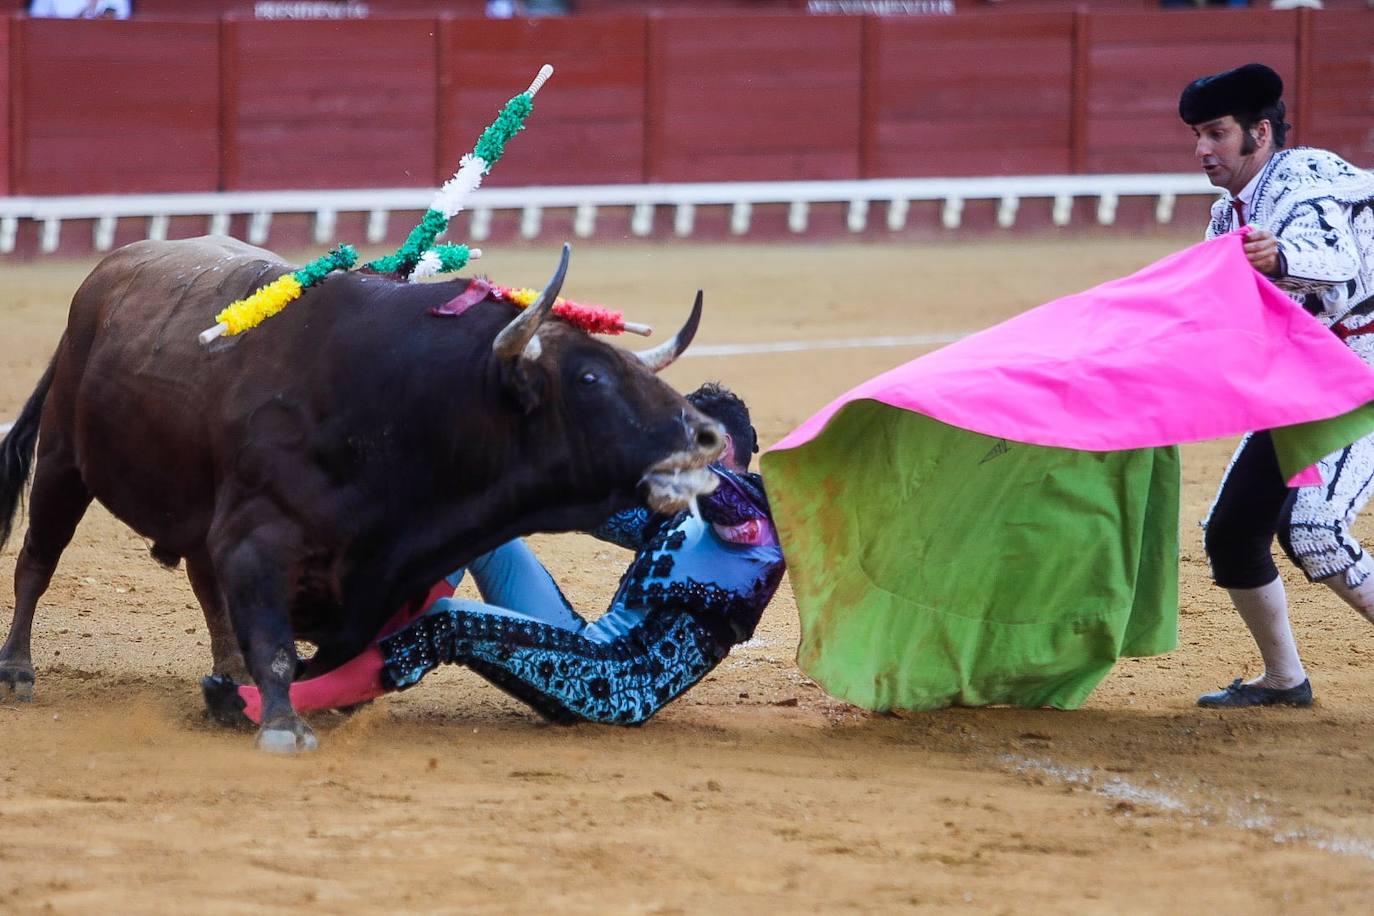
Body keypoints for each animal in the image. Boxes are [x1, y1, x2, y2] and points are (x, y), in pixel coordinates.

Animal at [0, 236, 725, 752]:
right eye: (589, 377)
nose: (707, 435)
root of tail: (104, 276)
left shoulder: (385, 571)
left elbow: (335, 651)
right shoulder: (257, 537)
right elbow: (277, 641)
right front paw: (283, 725)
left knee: (205, 588)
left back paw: (229, 674)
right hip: (64, 459)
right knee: (38, 560)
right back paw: (18, 670)